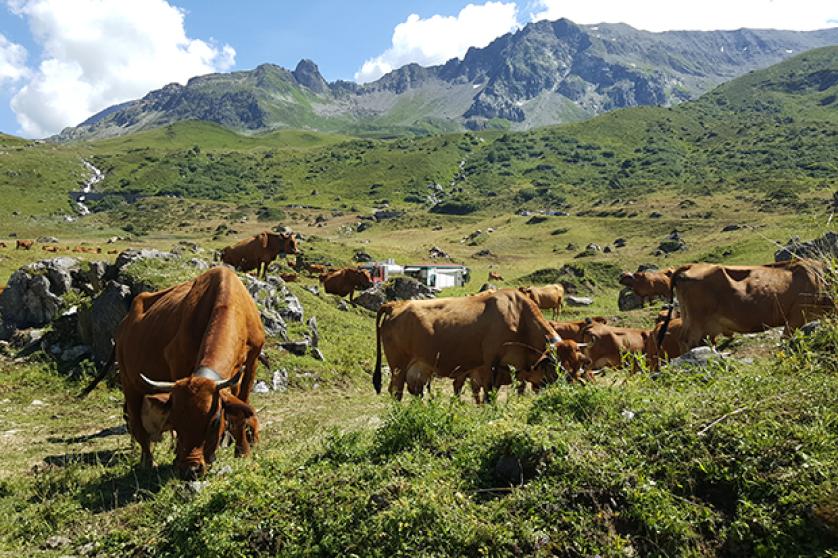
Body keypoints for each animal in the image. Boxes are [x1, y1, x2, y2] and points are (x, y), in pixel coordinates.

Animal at [115, 266, 265, 479]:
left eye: (214, 421)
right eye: (175, 420)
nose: (191, 469)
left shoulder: (251, 363)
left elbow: (240, 412)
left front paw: (243, 452)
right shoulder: (178, 364)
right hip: (130, 384)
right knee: (137, 425)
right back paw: (147, 462)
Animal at [373, 288, 562, 401]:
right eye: (555, 368)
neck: (518, 316)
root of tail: (396, 304)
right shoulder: (490, 363)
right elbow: (489, 393)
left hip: (418, 368)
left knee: (415, 390)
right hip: (399, 366)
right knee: (396, 391)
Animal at [659, 260, 833, 352]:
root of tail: (691, 266)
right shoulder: (796, 316)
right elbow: (785, 337)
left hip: (690, 318)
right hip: (697, 321)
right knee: (688, 342)